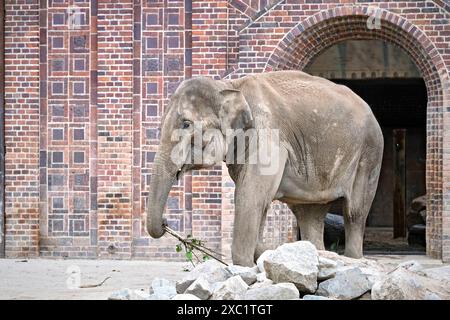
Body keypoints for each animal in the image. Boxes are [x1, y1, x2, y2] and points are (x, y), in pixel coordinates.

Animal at [147, 70, 384, 268]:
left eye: (186, 124)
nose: (165, 222)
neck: (229, 86)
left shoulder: (268, 136)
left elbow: (249, 196)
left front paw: (245, 266)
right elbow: (257, 200)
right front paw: (259, 255)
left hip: (369, 153)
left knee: (354, 211)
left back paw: (352, 259)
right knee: (310, 214)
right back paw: (318, 254)